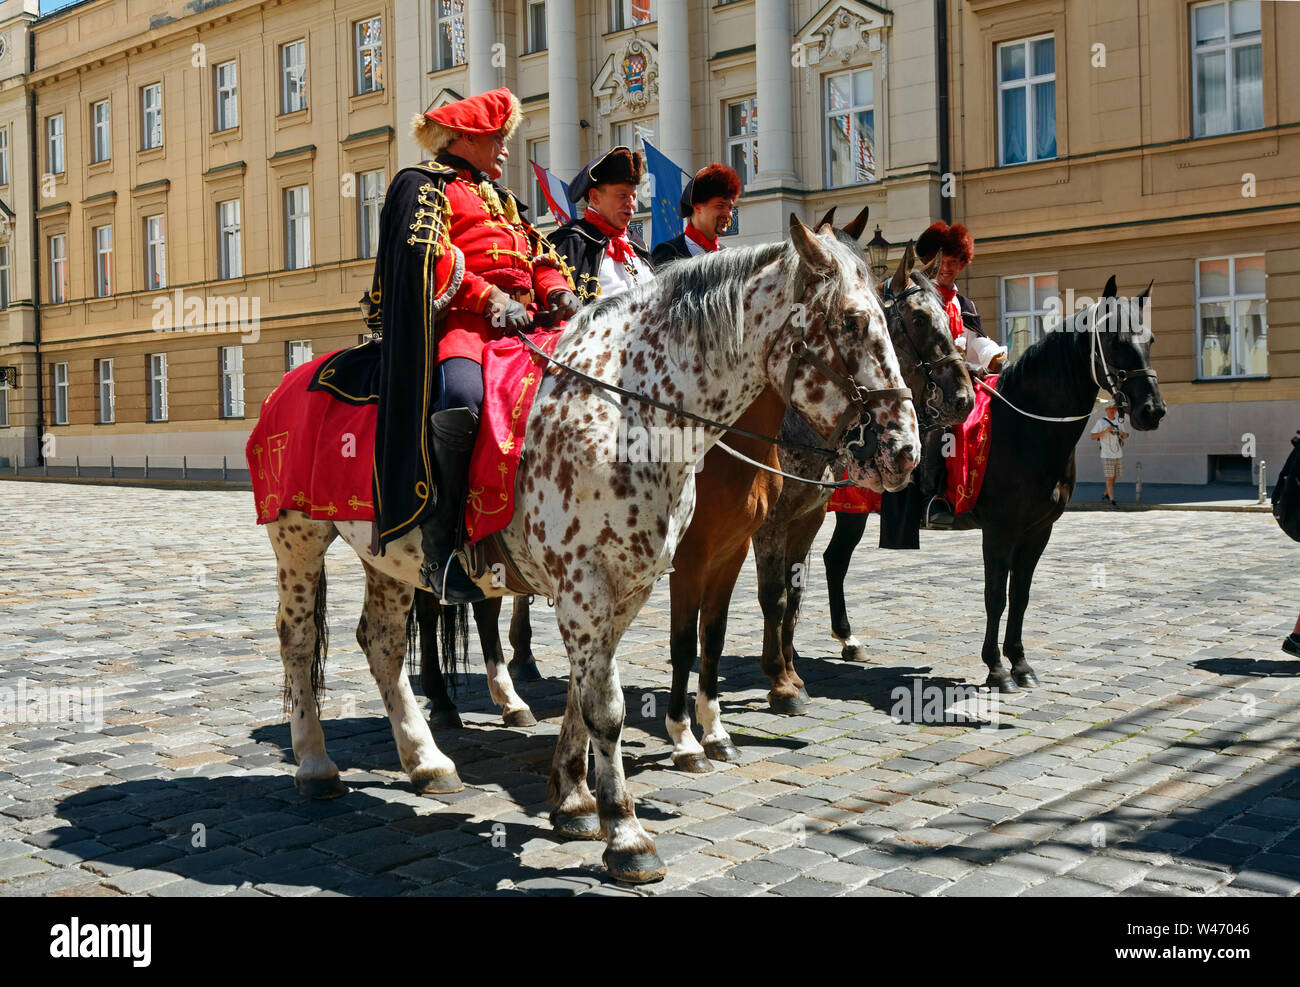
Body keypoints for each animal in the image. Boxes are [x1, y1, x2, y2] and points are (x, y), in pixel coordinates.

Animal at [258, 219, 920, 884]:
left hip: (387, 556)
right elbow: (607, 705)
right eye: (853, 321)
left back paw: (427, 761)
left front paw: (575, 801)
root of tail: (290, 380)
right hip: (299, 539)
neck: (630, 408)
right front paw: (625, 832)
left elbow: (588, 691)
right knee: (298, 641)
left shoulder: (632, 586)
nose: (904, 449)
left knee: (383, 644)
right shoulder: (588, 587)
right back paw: (316, 765)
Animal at [759, 275, 1164, 702]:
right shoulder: (1000, 530)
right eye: (1116, 340)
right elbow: (996, 596)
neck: (1027, 429)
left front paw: (1021, 663)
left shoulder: (1038, 531)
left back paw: (847, 642)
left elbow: (1021, 596)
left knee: (834, 561)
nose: (1151, 410)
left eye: (1150, 339)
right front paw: (997, 669)